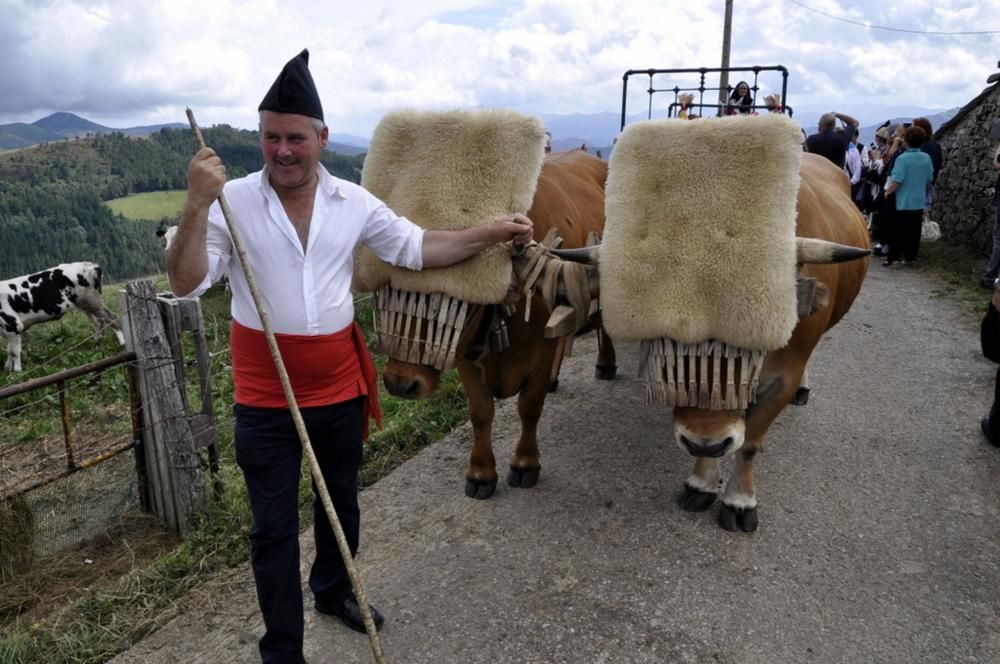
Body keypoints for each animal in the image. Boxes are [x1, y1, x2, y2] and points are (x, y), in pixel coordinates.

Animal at [382, 150, 616, 500]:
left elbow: (529, 406)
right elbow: (481, 412)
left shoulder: (543, 349)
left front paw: (525, 463)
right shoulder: (467, 355)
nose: (399, 383)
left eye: (453, 296)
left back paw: (605, 365)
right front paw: (480, 473)